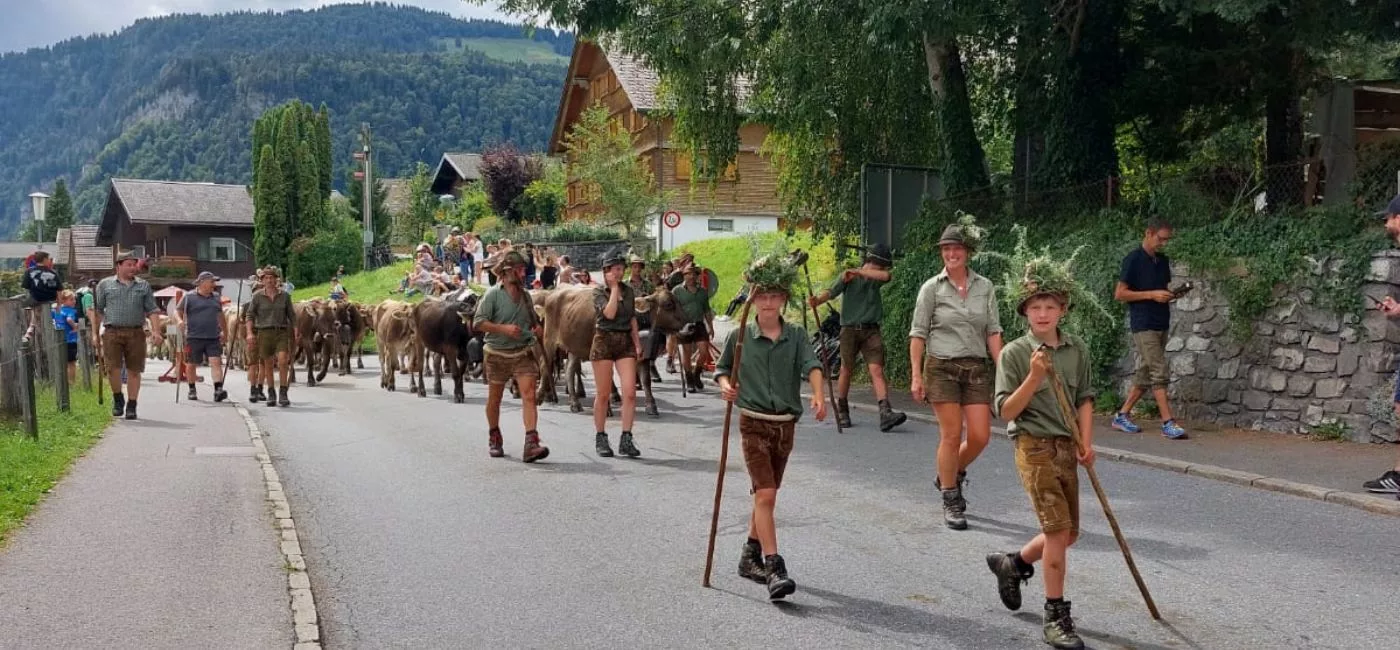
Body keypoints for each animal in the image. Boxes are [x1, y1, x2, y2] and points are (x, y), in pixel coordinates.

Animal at [534, 284, 688, 417]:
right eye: (668, 304)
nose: (688, 325)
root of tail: (552, 294)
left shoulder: (641, 355)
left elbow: (646, 380)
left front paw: (651, 406)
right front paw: (606, 408)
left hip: (574, 346)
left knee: (569, 369)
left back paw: (575, 403)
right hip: (548, 341)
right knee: (544, 364)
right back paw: (541, 396)